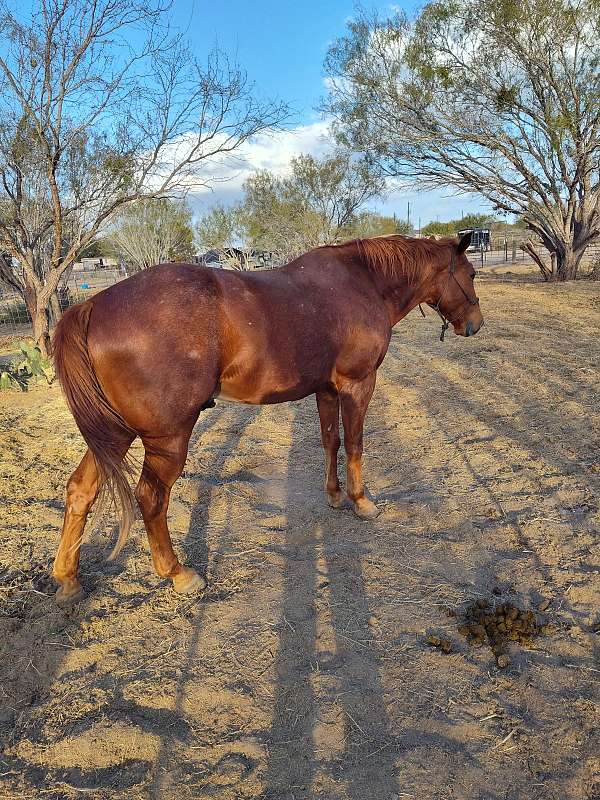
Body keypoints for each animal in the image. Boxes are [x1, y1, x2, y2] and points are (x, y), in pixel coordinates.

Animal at [51, 230, 482, 600]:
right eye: (471, 273)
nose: (475, 325)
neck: (362, 282)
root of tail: (92, 305)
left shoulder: (326, 390)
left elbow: (331, 441)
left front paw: (334, 495)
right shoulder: (358, 385)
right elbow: (356, 443)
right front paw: (361, 502)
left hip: (114, 434)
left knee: (80, 490)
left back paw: (68, 579)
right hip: (165, 438)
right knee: (151, 498)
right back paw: (179, 573)